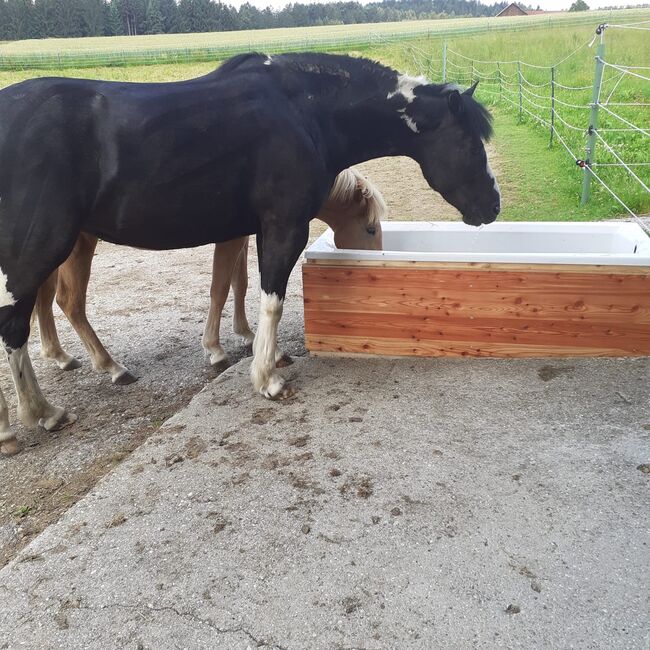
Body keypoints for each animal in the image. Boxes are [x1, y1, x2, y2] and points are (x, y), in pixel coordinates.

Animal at [33, 167, 382, 384]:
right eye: (370, 229)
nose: (375, 259)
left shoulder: (242, 236)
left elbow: (240, 284)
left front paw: (247, 334)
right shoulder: (230, 239)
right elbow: (221, 288)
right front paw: (216, 350)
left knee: (43, 299)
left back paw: (59, 356)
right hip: (76, 248)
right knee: (69, 302)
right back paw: (112, 368)